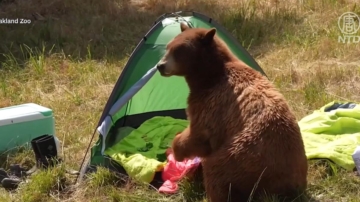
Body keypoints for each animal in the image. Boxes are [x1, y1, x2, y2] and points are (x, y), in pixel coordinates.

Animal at [156, 22, 308, 202]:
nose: (160, 66)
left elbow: (200, 134)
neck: (208, 77)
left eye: (179, 50)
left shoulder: (211, 104)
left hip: (238, 159)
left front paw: (177, 148)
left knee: (216, 174)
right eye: (168, 47)